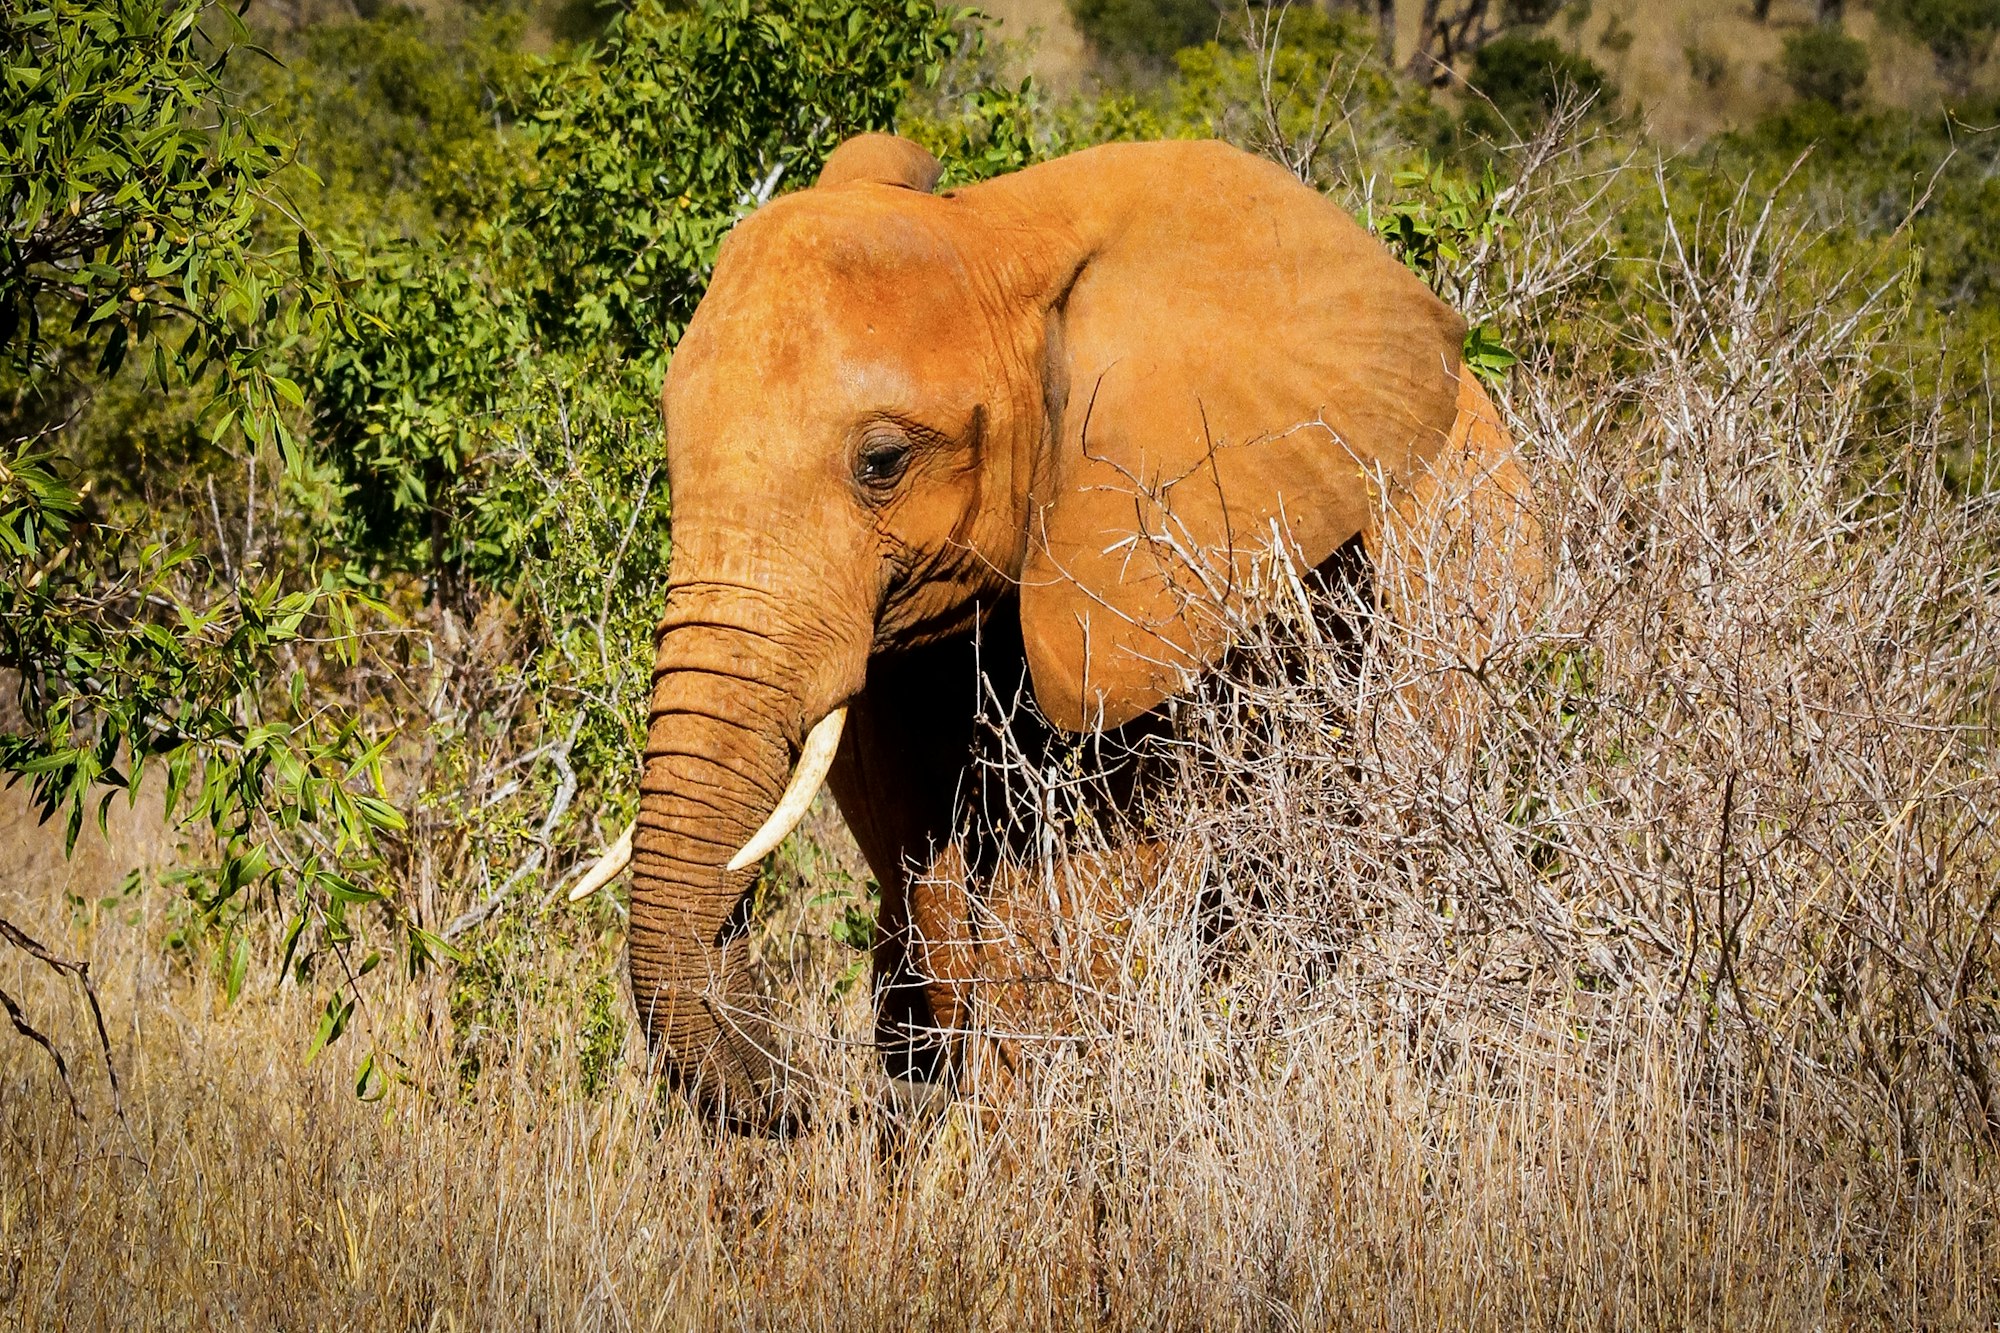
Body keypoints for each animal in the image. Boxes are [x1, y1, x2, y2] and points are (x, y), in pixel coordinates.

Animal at [572, 132, 1536, 1128]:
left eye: (882, 463)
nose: (817, 1096)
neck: (997, 232)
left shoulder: (1208, 573)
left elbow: (1103, 868)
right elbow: (930, 855)